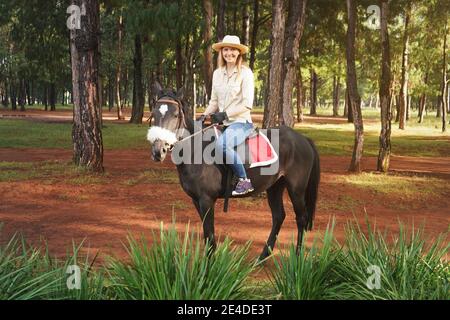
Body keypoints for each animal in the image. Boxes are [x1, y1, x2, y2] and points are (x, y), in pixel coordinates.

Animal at [148, 85, 320, 260]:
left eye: (176, 115)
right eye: (154, 113)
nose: (158, 151)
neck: (196, 151)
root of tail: (303, 139)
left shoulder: (206, 200)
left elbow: (209, 234)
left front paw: (210, 265)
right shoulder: (196, 200)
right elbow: (207, 234)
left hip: (296, 189)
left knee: (301, 218)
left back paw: (297, 258)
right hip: (275, 186)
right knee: (279, 216)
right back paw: (263, 256)